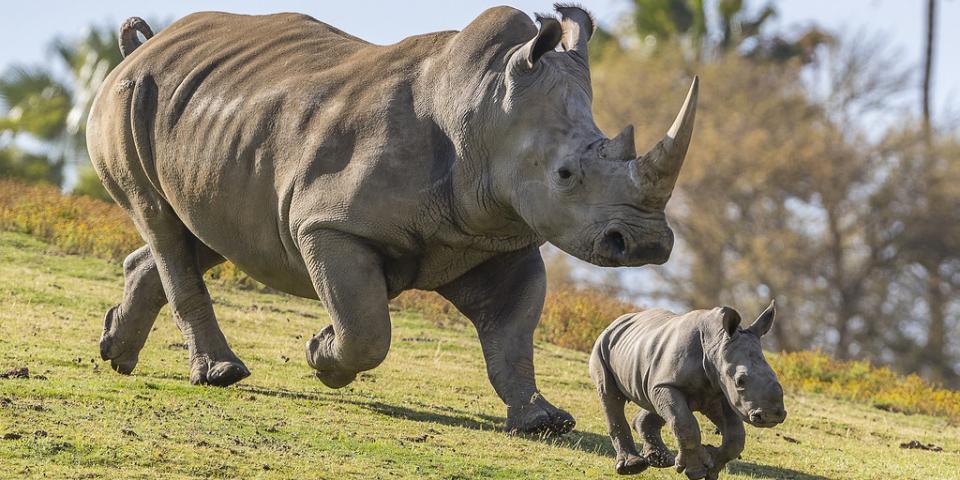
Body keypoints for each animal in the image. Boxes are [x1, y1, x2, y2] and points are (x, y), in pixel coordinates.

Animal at [88, 2, 696, 436]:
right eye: (566, 175)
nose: (645, 243)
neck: (484, 109)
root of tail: (141, 50)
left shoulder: (500, 238)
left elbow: (513, 335)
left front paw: (544, 422)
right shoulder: (329, 224)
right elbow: (367, 329)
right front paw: (321, 355)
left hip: (216, 122)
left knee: (208, 229)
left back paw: (116, 352)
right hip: (127, 99)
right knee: (161, 221)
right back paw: (221, 374)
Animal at [592, 302, 788, 478]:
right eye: (740, 381)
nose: (772, 416)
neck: (716, 343)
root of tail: (617, 321)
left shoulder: (721, 391)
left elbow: (736, 436)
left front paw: (711, 467)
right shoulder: (670, 384)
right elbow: (685, 424)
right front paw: (696, 471)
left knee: (655, 402)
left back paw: (662, 461)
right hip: (603, 346)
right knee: (611, 396)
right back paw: (632, 467)